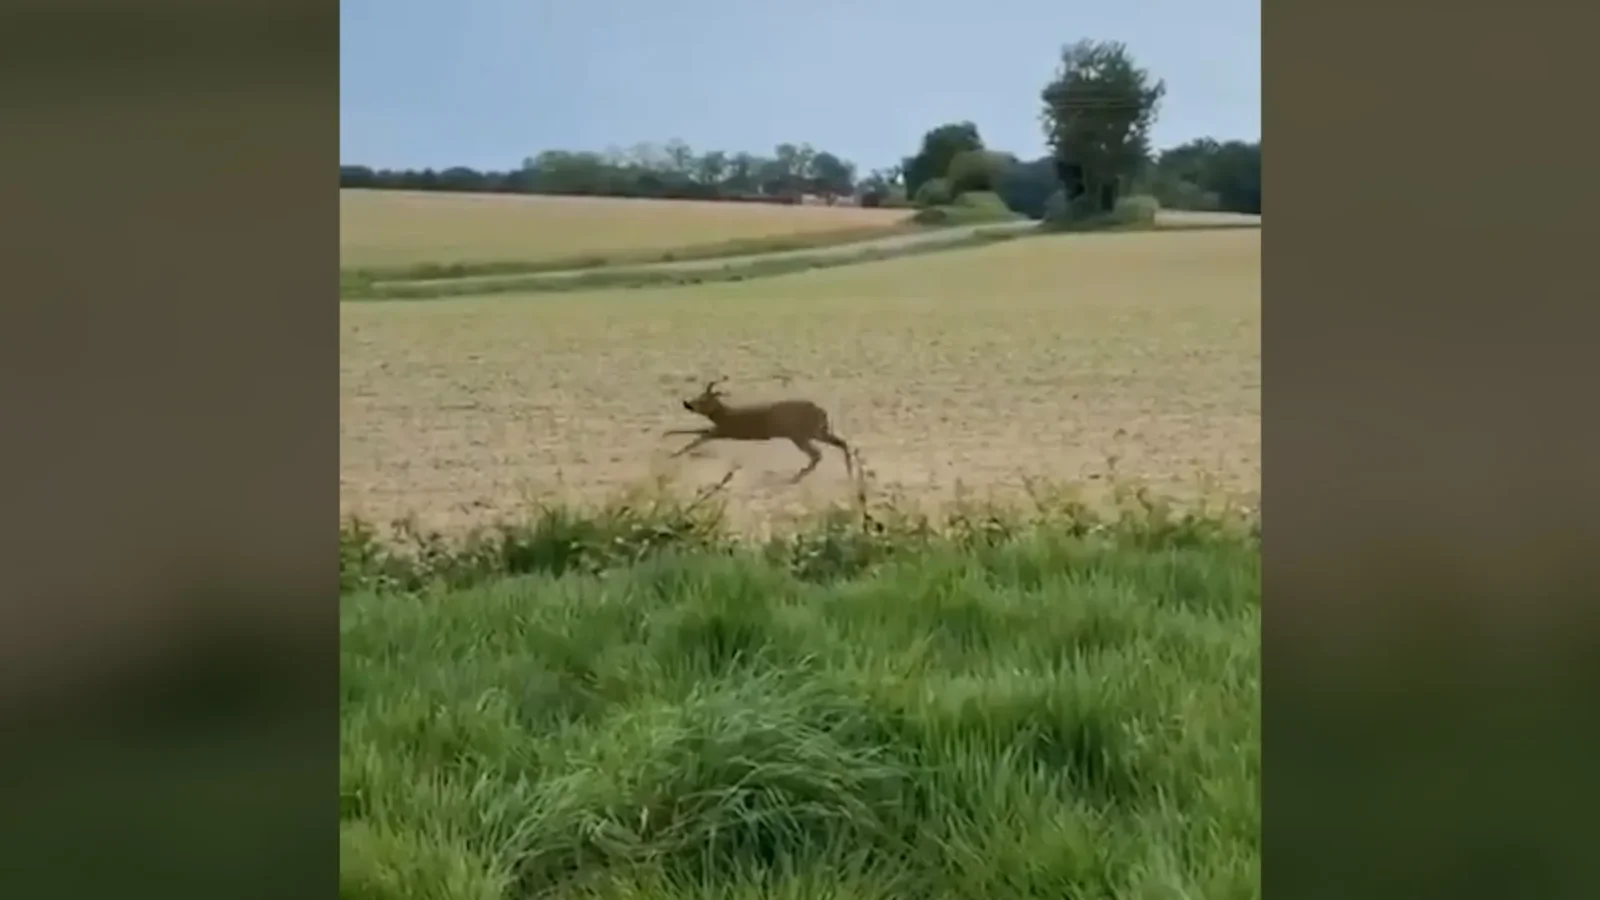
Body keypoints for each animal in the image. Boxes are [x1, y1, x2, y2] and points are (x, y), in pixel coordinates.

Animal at [664, 378, 854, 483]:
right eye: (698, 397)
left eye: (703, 399)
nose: (687, 403)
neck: (725, 414)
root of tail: (821, 411)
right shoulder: (720, 430)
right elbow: (696, 433)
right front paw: (667, 434)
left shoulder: (724, 431)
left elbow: (697, 438)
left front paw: (673, 453)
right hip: (814, 431)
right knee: (841, 443)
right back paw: (850, 474)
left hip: (799, 434)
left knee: (817, 454)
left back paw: (795, 477)